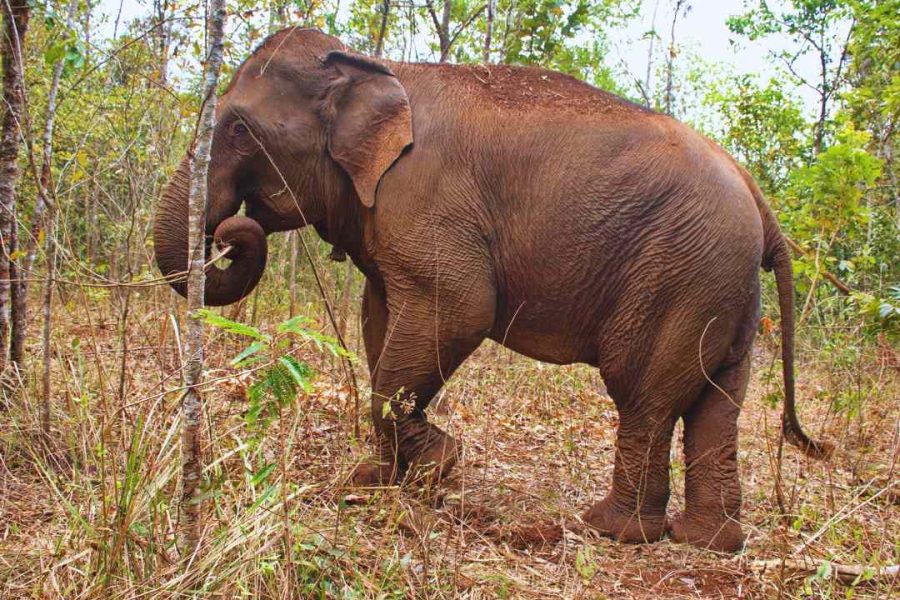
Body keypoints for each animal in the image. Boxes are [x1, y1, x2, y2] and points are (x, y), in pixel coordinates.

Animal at [153, 28, 828, 552]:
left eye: (239, 131)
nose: (231, 230)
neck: (375, 65)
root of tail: (760, 199)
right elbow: (380, 320)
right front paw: (376, 480)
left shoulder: (427, 200)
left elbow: (459, 309)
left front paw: (439, 468)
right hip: (721, 286)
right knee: (716, 402)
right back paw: (706, 541)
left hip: (680, 273)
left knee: (644, 394)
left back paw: (611, 529)